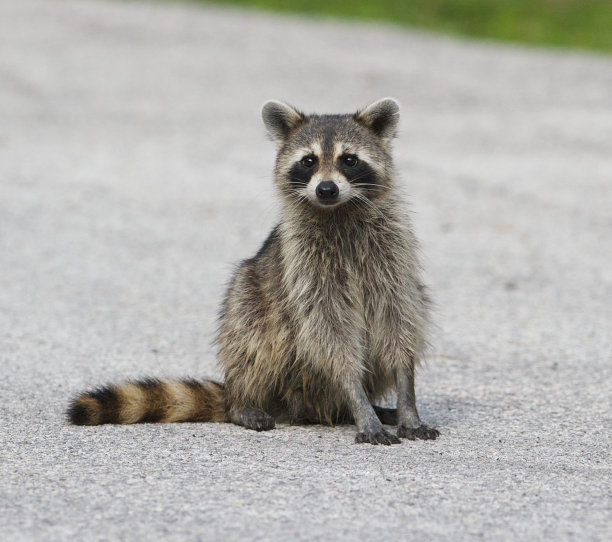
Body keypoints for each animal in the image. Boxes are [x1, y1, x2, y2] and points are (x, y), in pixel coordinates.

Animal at [67, 99, 438, 446]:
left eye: (349, 159)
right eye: (308, 161)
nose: (326, 189)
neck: (339, 211)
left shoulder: (392, 258)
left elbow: (400, 323)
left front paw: (406, 402)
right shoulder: (306, 269)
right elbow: (331, 336)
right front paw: (358, 399)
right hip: (251, 298)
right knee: (253, 334)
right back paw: (248, 402)